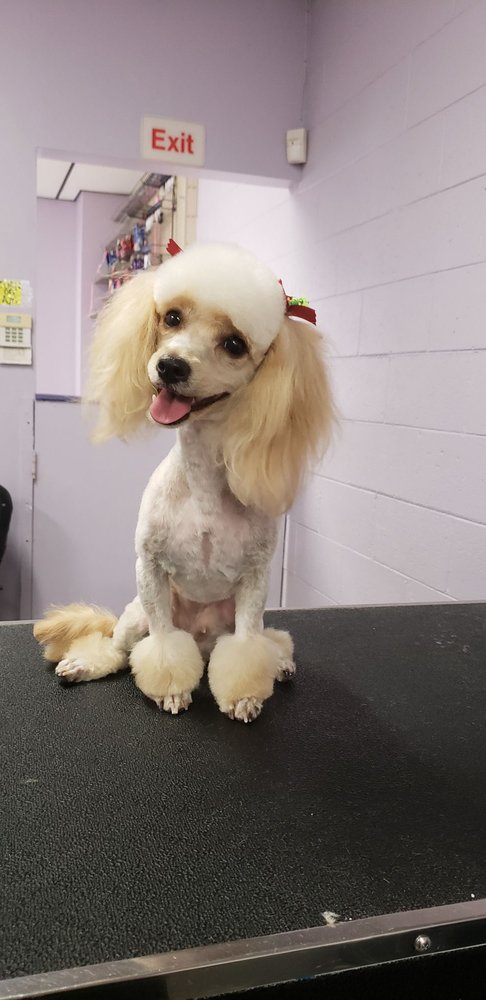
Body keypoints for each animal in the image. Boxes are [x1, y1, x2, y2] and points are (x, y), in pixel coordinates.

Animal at [34, 242, 333, 722]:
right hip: (135, 614)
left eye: (234, 344)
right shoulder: (150, 567)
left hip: (233, 620)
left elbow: (248, 646)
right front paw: (171, 688)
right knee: (118, 647)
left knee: (267, 640)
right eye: (172, 317)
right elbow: (161, 643)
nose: (170, 366)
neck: (203, 481)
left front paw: (245, 695)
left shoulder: (255, 579)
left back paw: (280, 663)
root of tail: (204, 640)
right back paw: (85, 663)